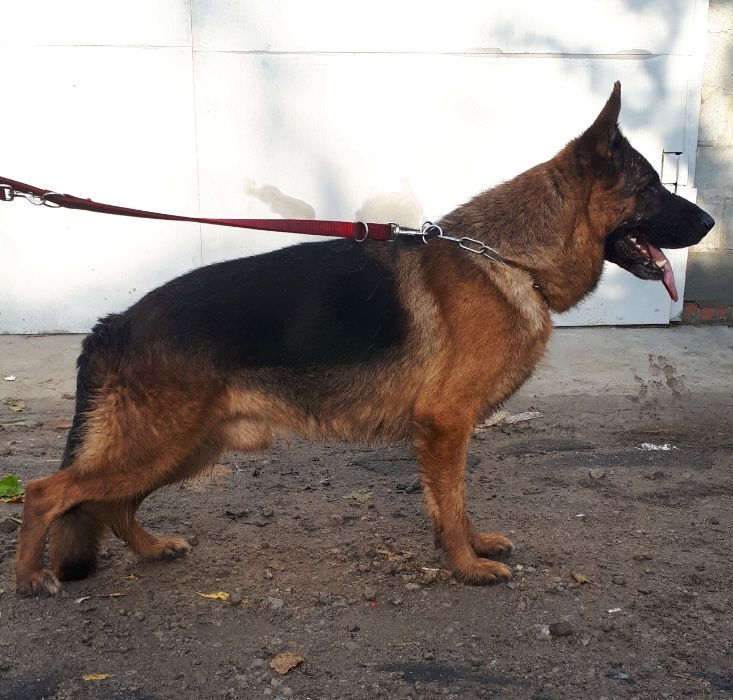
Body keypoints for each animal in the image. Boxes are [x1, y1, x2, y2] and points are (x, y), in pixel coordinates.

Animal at [15, 82, 714, 595]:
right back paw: (30, 578)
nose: (711, 221)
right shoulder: (445, 423)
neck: (511, 257)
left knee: (109, 504)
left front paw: (469, 546)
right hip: (161, 444)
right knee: (46, 492)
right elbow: (452, 500)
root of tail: (115, 322)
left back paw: (152, 548)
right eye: (652, 187)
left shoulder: (445, 431)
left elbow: (454, 504)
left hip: (187, 447)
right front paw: (466, 567)